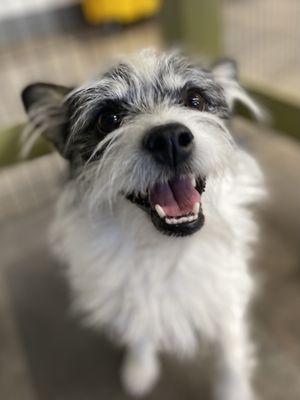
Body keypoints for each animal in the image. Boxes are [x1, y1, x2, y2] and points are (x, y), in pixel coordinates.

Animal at [21, 50, 264, 400]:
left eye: (195, 100)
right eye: (108, 119)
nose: (169, 139)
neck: (164, 247)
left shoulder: (227, 292)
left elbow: (230, 353)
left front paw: (234, 392)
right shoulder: (129, 293)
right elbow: (139, 326)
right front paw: (140, 369)